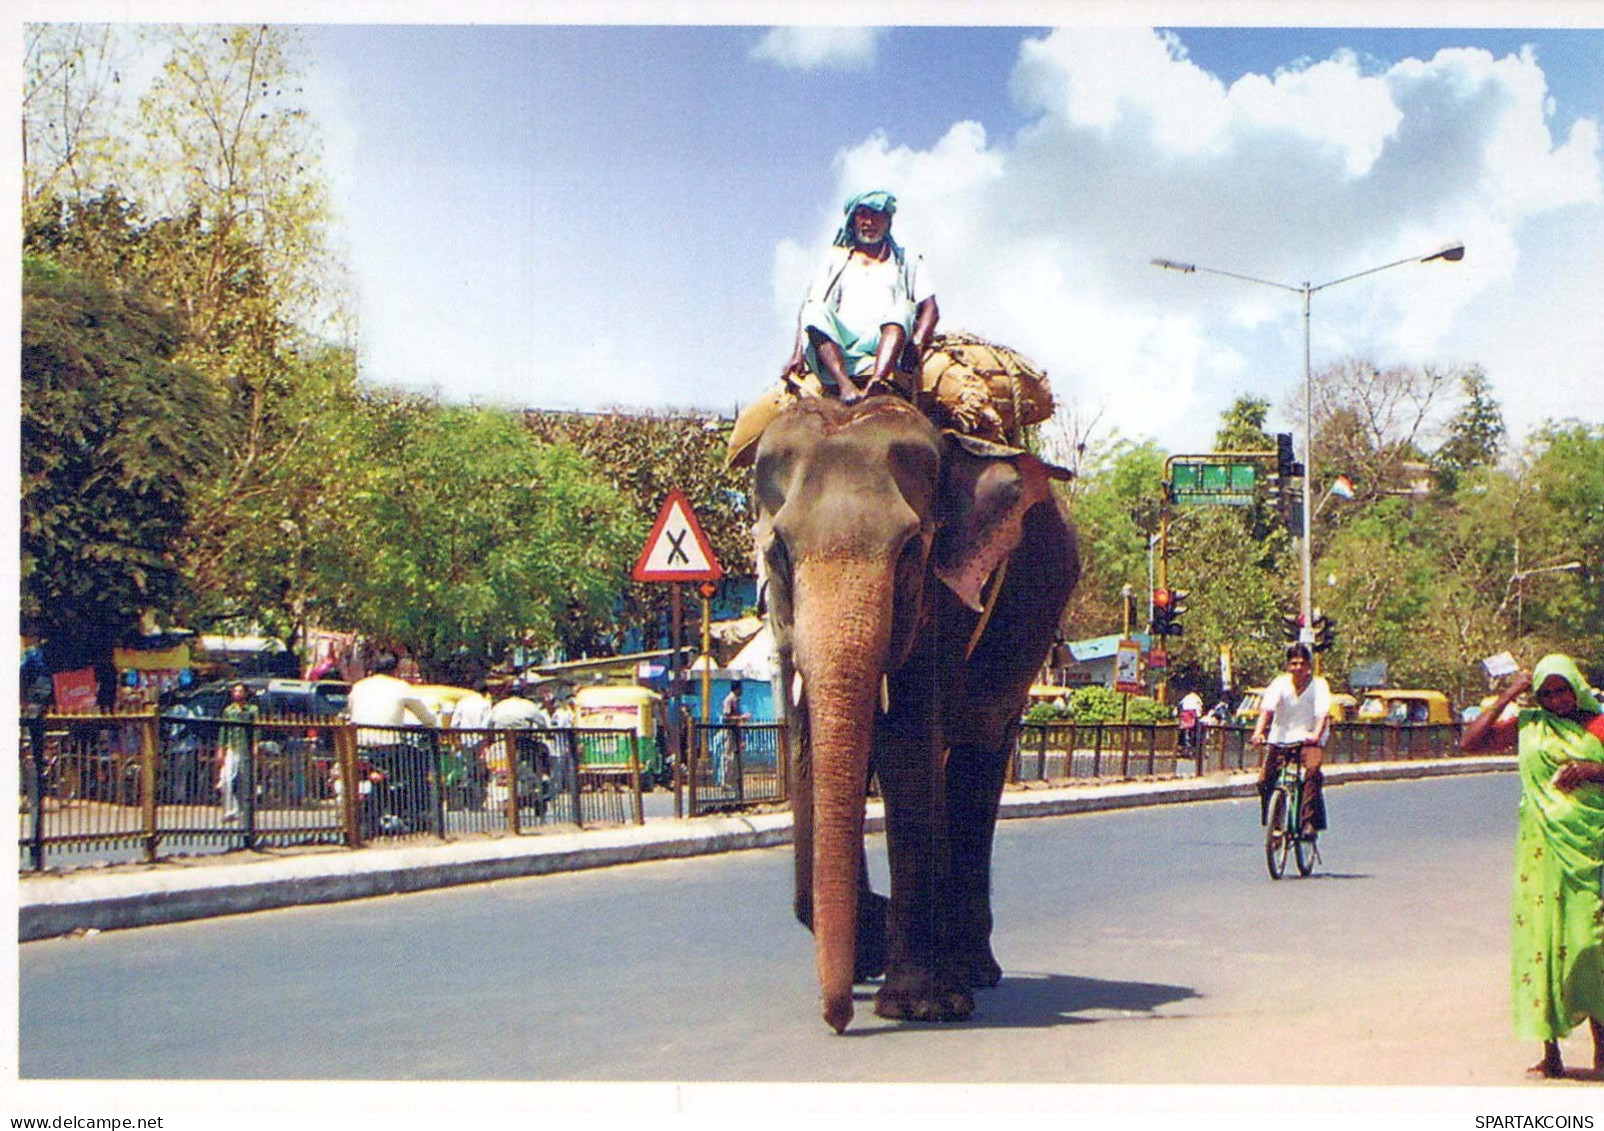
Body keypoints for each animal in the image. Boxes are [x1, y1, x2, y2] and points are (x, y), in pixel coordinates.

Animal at [747, 393, 1077, 1026]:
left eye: (911, 551)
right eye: (778, 551)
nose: (837, 1021)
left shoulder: (945, 597)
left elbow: (906, 737)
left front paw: (918, 1004)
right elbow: (804, 744)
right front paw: (866, 945)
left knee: (977, 752)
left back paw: (971, 972)